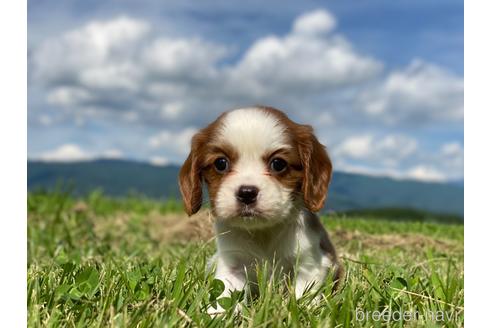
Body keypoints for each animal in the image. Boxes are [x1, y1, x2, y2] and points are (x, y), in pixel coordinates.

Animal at [179, 106, 344, 312]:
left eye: (278, 164)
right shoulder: (232, 266)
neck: (262, 231)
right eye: (220, 163)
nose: (247, 193)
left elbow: (301, 297)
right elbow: (225, 296)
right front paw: (214, 315)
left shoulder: (310, 264)